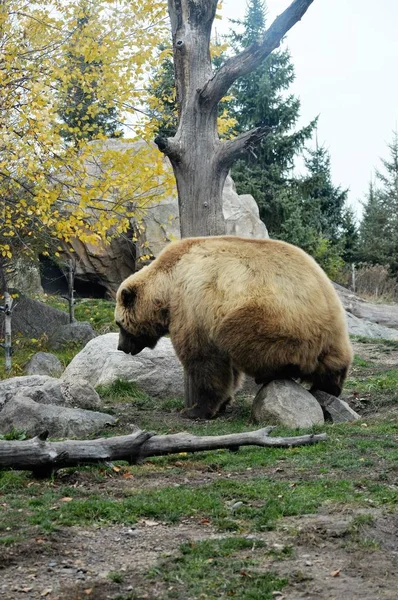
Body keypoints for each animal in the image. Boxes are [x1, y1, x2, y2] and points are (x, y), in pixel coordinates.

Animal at [114, 234, 352, 418]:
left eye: (119, 324)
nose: (121, 347)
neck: (166, 288)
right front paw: (223, 402)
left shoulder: (193, 305)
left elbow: (204, 360)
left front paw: (197, 409)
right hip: (332, 329)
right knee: (335, 362)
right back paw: (329, 386)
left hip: (274, 317)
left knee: (242, 339)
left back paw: (272, 373)